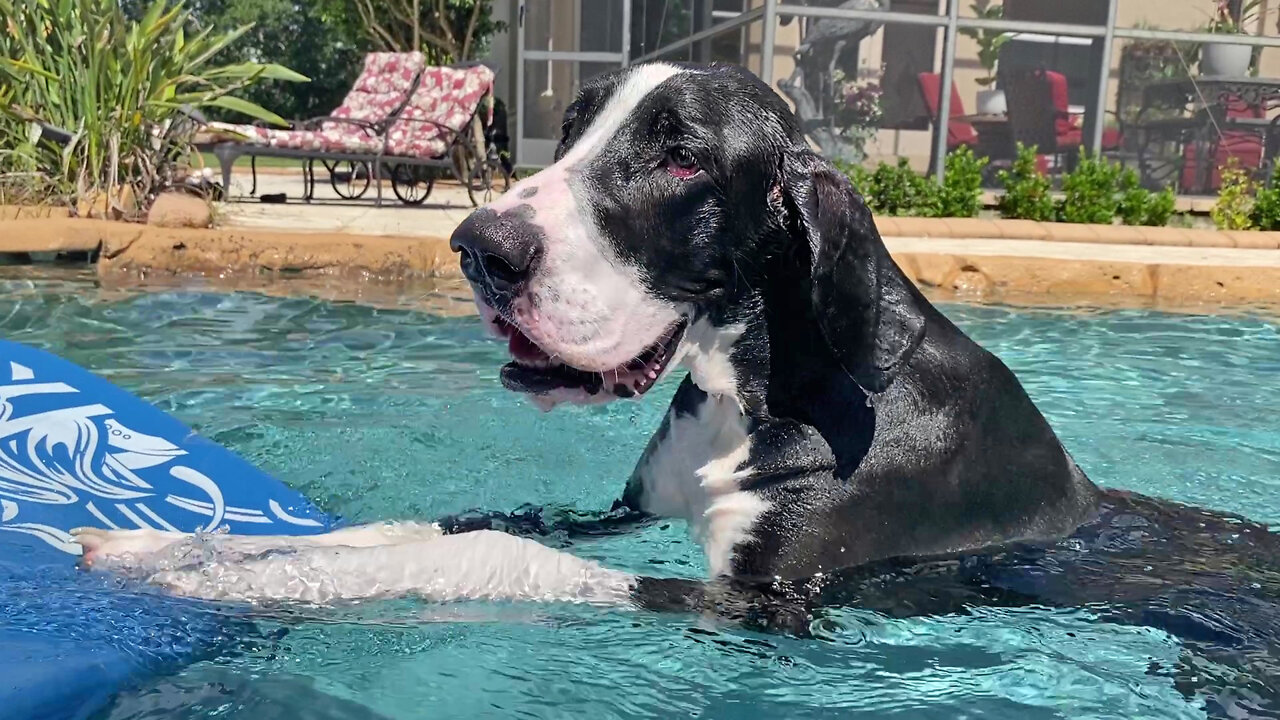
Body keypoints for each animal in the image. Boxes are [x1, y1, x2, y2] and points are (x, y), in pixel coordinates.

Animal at [77, 61, 1280, 702]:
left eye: (682, 156)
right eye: (571, 129)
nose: (479, 247)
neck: (763, 390)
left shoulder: (756, 606)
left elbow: (496, 555)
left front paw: (263, 579)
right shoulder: (619, 517)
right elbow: (441, 524)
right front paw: (179, 549)